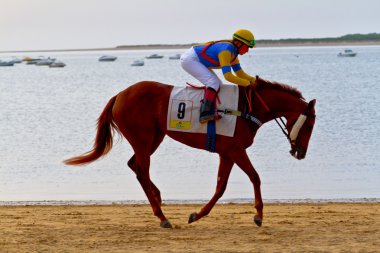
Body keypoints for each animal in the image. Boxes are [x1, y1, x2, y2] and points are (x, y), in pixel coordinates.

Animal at [63, 76, 316, 228]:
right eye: (311, 125)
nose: (301, 153)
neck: (247, 109)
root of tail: (119, 95)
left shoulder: (227, 152)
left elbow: (220, 186)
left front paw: (197, 214)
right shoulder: (235, 150)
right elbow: (255, 177)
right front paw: (259, 215)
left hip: (154, 137)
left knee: (134, 165)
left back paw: (158, 197)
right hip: (143, 139)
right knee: (141, 170)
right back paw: (162, 216)